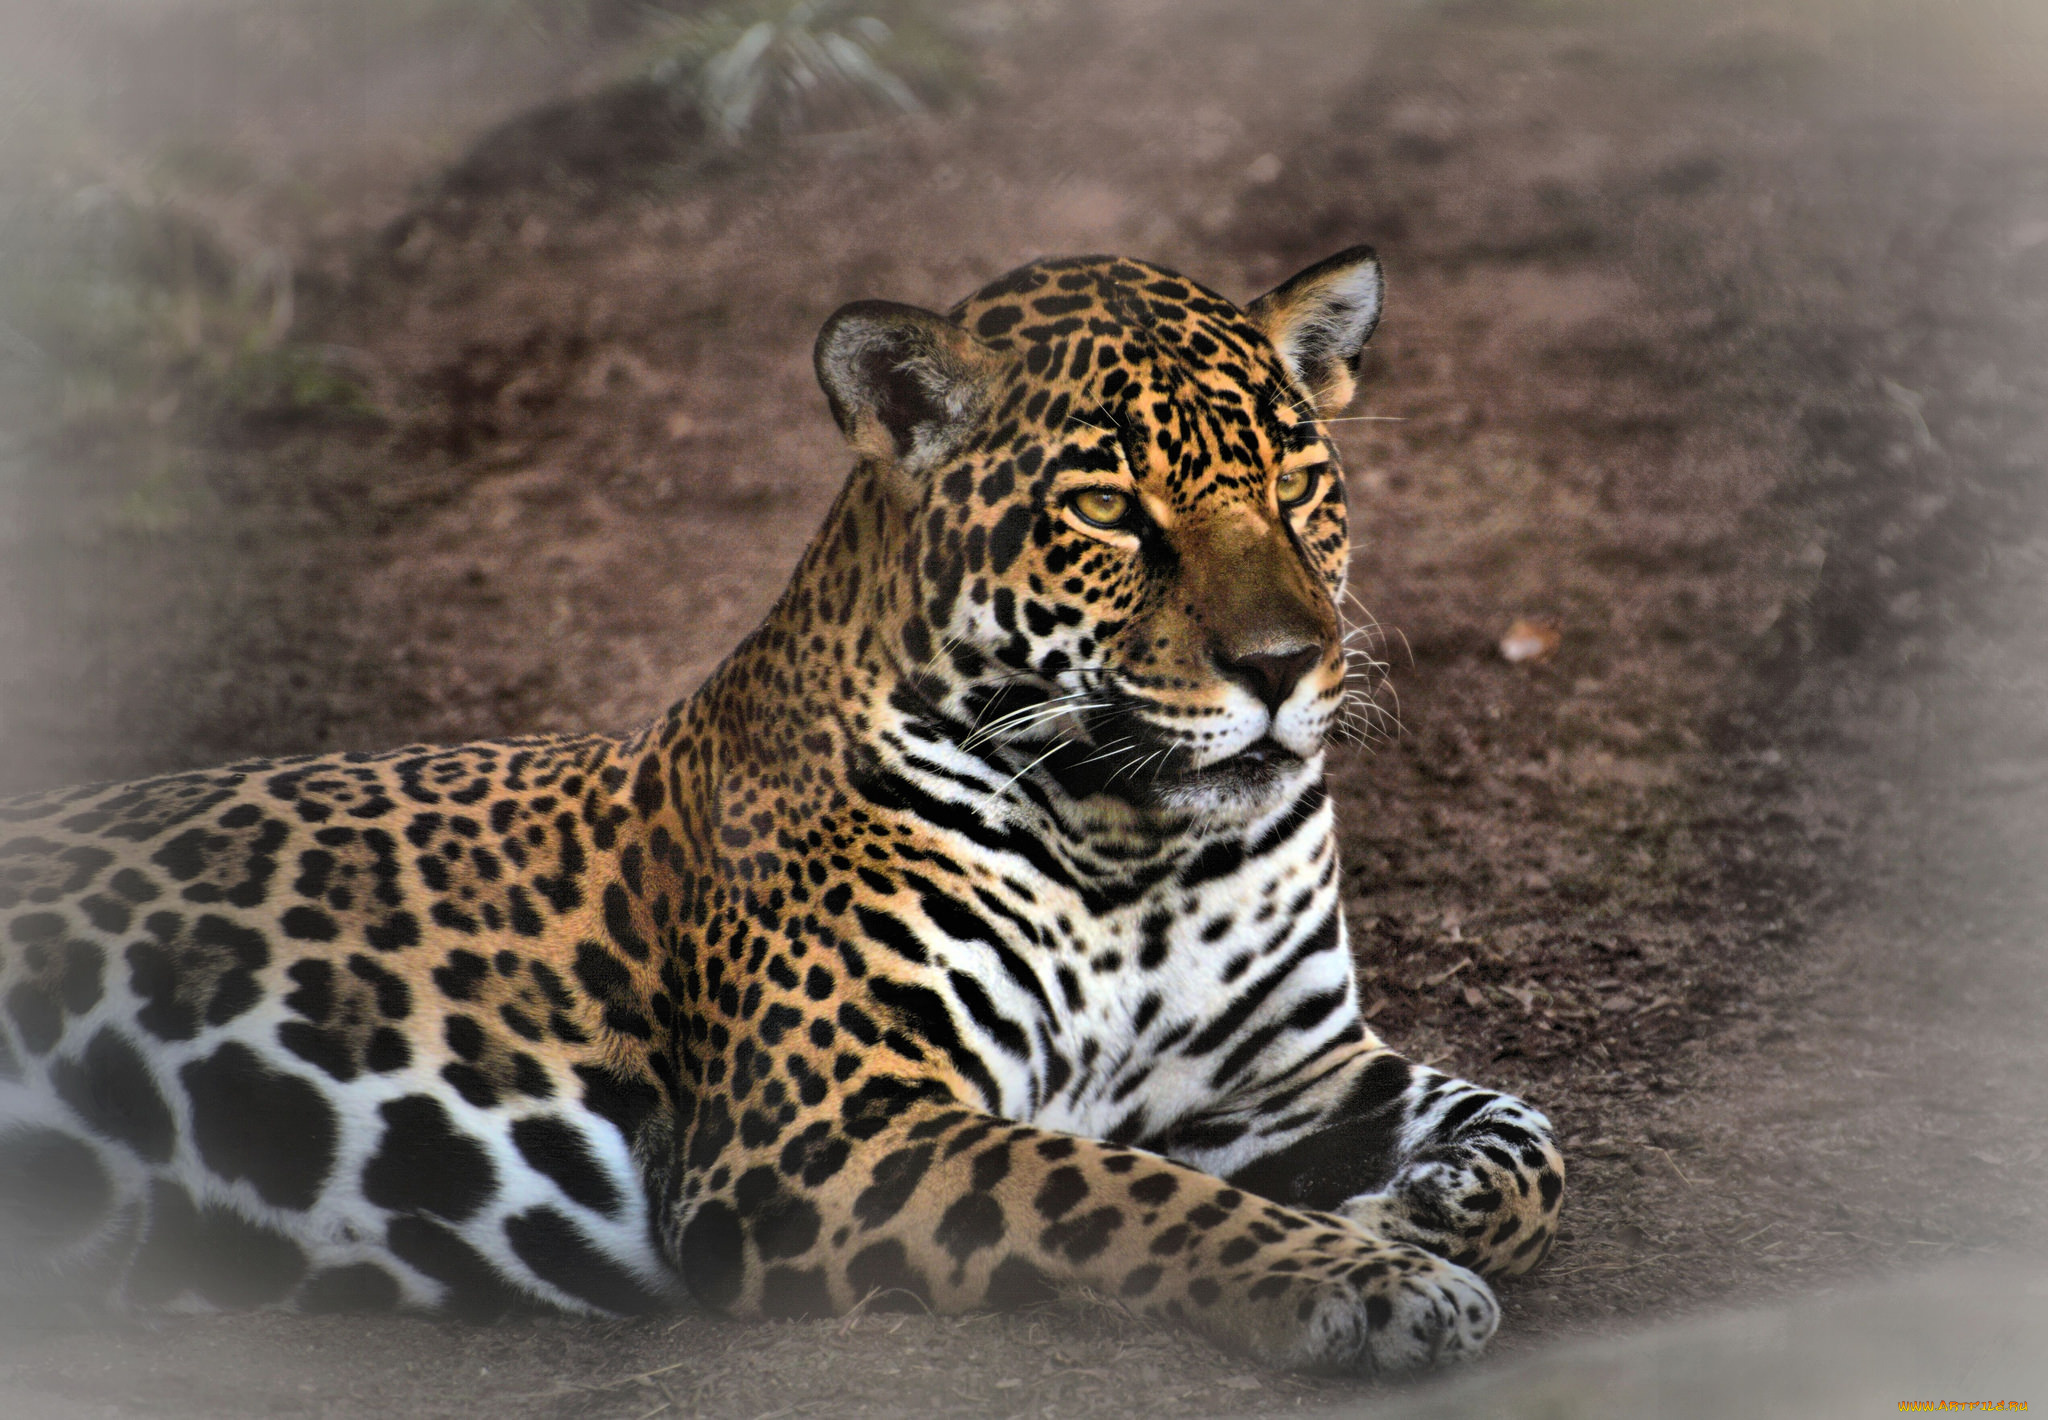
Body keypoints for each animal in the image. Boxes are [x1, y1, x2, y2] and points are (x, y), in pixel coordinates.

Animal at [0, 247, 1563, 1376]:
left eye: (1300, 486)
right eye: (1110, 510)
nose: (1287, 665)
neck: (1137, 845)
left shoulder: (1274, 1071)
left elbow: (1528, 1130)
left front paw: (1420, 1209)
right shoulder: (822, 1132)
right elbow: (1117, 1191)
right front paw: (1371, 1280)